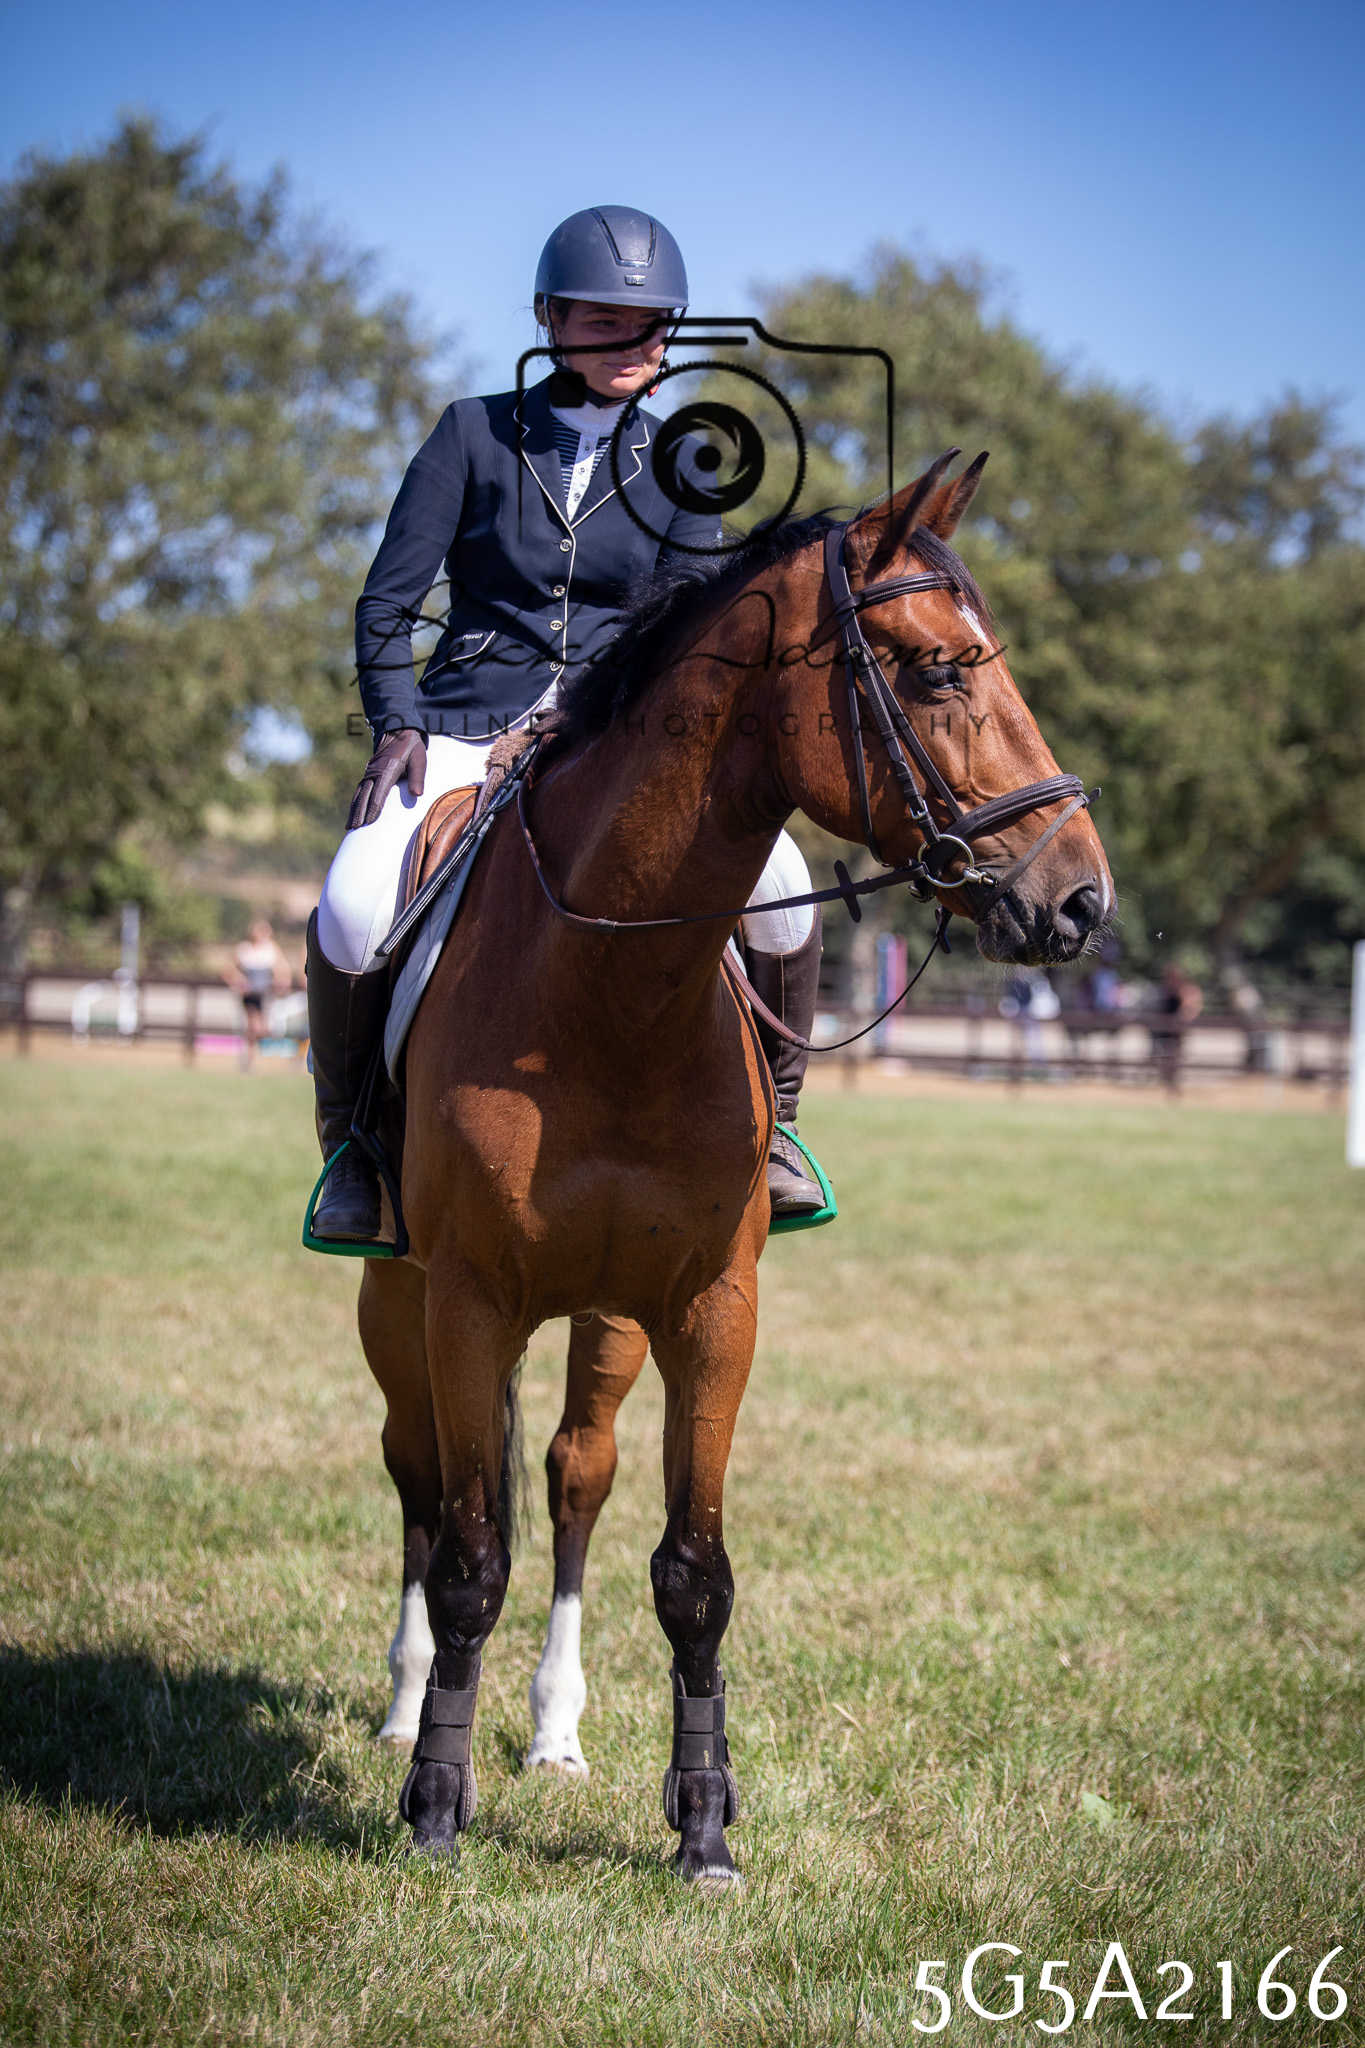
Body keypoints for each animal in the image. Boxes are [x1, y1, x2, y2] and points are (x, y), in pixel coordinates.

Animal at [354, 450, 1114, 1884]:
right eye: (939, 670)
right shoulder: (466, 1299)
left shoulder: (713, 1309)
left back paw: (554, 1728)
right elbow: (470, 1552)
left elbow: (692, 1571)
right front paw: (433, 1801)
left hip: (604, 1312)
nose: (1082, 901)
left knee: (574, 1471)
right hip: (396, 1296)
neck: (609, 989)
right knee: (422, 1478)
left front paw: (704, 1820)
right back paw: (408, 1700)